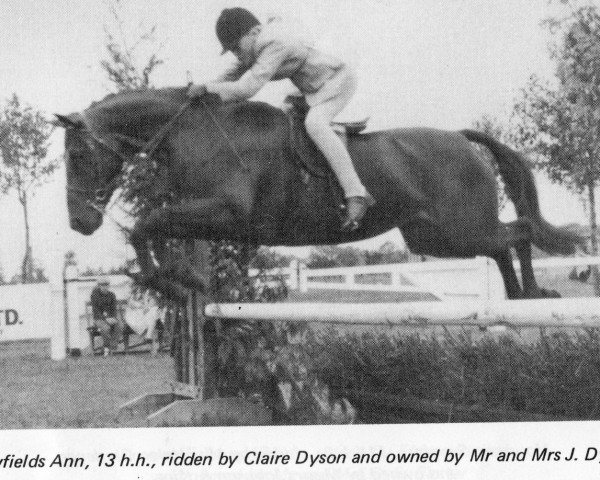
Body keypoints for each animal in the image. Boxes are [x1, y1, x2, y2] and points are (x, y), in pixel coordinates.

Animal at [55, 84, 580, 298]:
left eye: (77, 156)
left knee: (515, 234)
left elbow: (149, 222)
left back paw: (532, 294)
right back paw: (518, 296)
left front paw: (172, 280)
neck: (196, 133)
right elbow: (156, 227)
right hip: (431, 237)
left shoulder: (228, 211)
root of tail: (460, 138)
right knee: (503, 242)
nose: (78, 223)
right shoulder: (205, 214)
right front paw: (183, 279)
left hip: (457, 230)